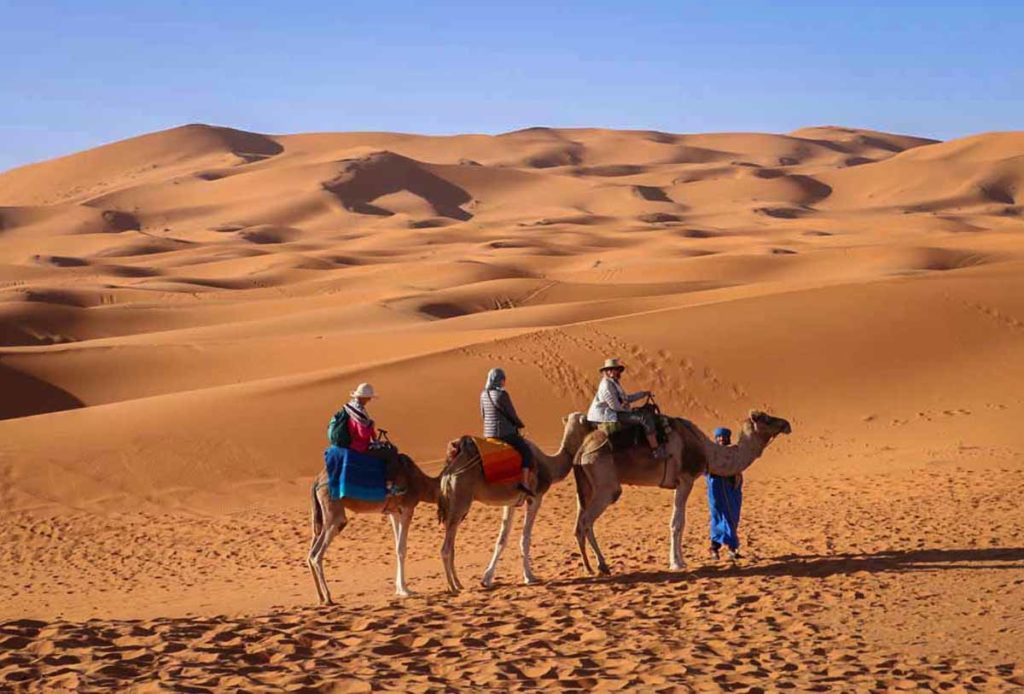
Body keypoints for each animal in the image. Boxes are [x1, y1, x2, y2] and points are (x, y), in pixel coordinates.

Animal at [308, 452, 439, 604]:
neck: (421, 484)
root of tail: (317, 480)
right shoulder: (408, 508)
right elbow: (402, 549)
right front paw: (405, 590)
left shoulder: (394, 512)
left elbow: (397, 548)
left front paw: (399, 589)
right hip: (334, 512)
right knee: (317, 554)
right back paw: (328, 597)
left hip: (319, 514)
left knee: (311, 551)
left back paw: (320, 597)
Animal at [436, 413, 591, 594]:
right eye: (587, 420)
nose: (596, 424)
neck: (549, 465)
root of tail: (449, 469)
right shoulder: (535, 498)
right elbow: (525, 538)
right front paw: (529, 577)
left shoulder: (510, 502)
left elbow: (502, 539)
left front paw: (486, 579)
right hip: (460, 502)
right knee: (445, 548)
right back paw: (453, 587)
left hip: (456, 506)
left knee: (451, 544)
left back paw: (458, 583)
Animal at [572, 410, 791, 575]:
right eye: (766, 418)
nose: (786, 424)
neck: (706, 450)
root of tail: (582, 450)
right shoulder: (686, 479)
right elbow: (677, 523)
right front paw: (677, 563)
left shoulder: (678, 483)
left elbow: (679, 522)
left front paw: (680, 560)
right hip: (605, 483)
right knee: (586, 521)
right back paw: (600, 566)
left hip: (586, 486)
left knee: (579, 523)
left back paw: (590, 566)